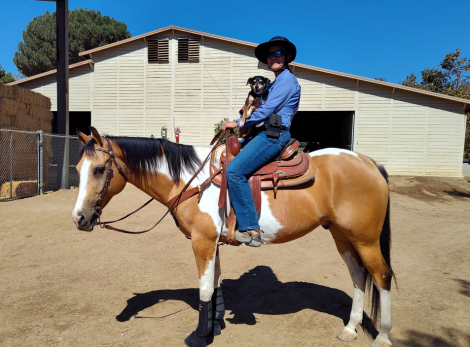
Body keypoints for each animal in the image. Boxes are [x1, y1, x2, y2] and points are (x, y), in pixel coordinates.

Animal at [71, 128, 394, 347]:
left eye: (99, 169)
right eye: (77, 169)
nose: (79, 218)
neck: (189, 181)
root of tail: (369, 162)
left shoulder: (201, 241)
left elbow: (203, 289)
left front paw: (199, 336)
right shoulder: (212, 242)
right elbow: (215, 283)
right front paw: (215, 325)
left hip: (365, 239)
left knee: (381, 276)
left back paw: (383, 336)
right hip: (343, 235)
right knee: (358, 275)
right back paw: (350, 328)